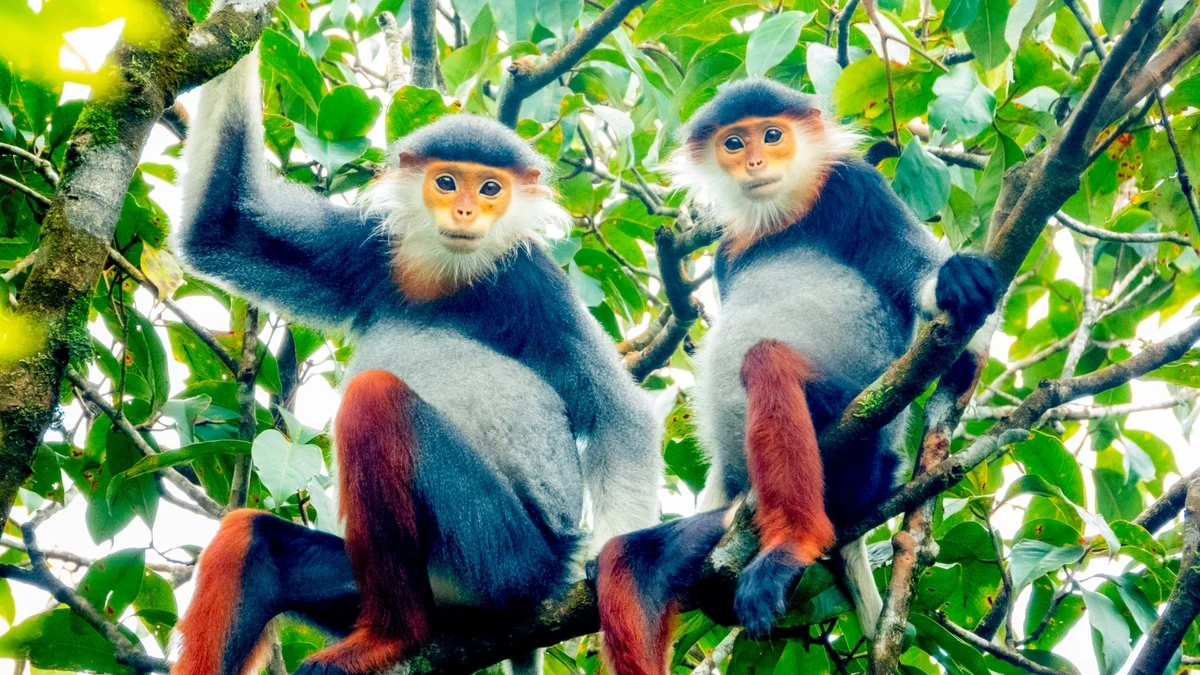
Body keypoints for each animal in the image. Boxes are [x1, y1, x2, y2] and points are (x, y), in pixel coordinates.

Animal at [170, 45, 662, 675]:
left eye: (491, 189)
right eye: (446, 182)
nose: (466, 211)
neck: (447, 278)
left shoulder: (532, 283)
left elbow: (617, 414)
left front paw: (611, 573)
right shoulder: (369, 253)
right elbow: (224, 221)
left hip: (499, 554)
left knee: (375, 400)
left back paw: (393, 637)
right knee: (252, 541)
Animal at [592, 78, 1000, 675]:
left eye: (772, 135)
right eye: (734, 143)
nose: (756, 161)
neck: (779, 218)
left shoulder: (857, 188)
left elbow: (949, 312)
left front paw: (956, 278)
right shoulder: (727, 250)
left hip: (862, 454)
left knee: (767, 363)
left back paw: (792, 546)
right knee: (628, 561)